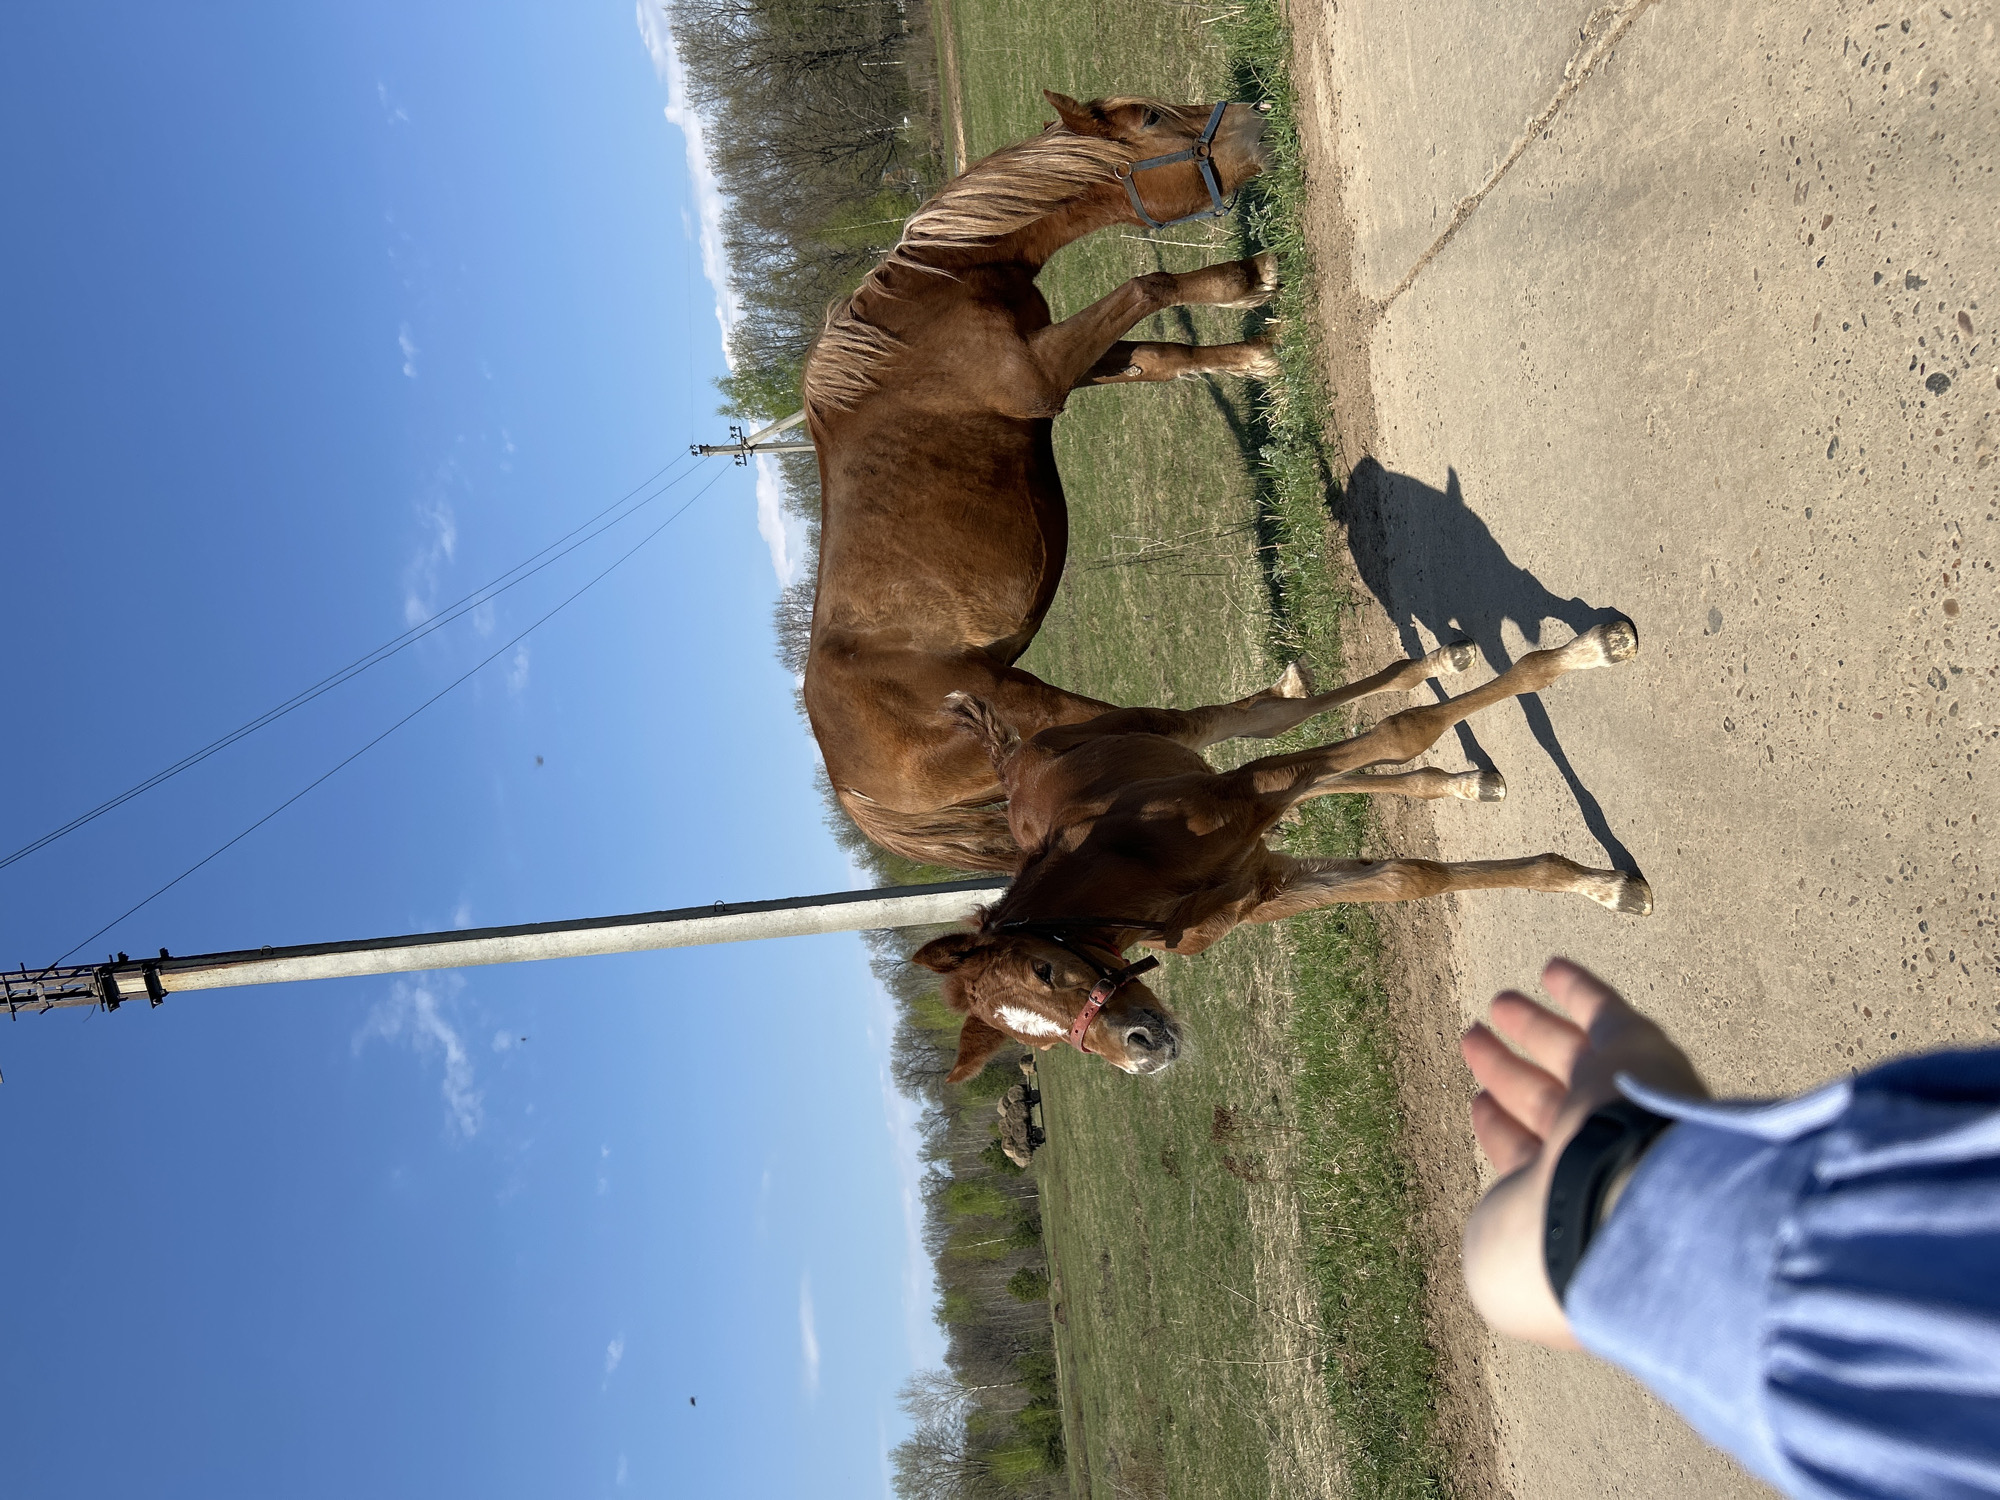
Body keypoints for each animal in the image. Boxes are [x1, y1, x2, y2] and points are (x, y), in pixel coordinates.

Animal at [801, 92, 1293, 873]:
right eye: (1151, 120)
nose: (1255, 119)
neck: (939, 296)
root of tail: (856, 792)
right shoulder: (1041, 378)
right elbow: (1148, 284)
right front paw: (1250, 279)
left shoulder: (1078, 361)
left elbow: (1159, 353)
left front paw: (1258, 350)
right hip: (1036, 707)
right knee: (1185, 725)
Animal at [910, 620, 1653, 1080]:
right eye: (1030, 1039)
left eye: (1043, 968)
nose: (1140, 1053)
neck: (1132, 872)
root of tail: (1011, 759)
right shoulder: (1268, 885)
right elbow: (1410, 878)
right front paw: (1604, 885)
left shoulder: (1248, 799)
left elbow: (1403, 730)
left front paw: (1586, 652)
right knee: (1331, 768)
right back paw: (1466, 781)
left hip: (1184, 732)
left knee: (1277, 716)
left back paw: (1464, 661)